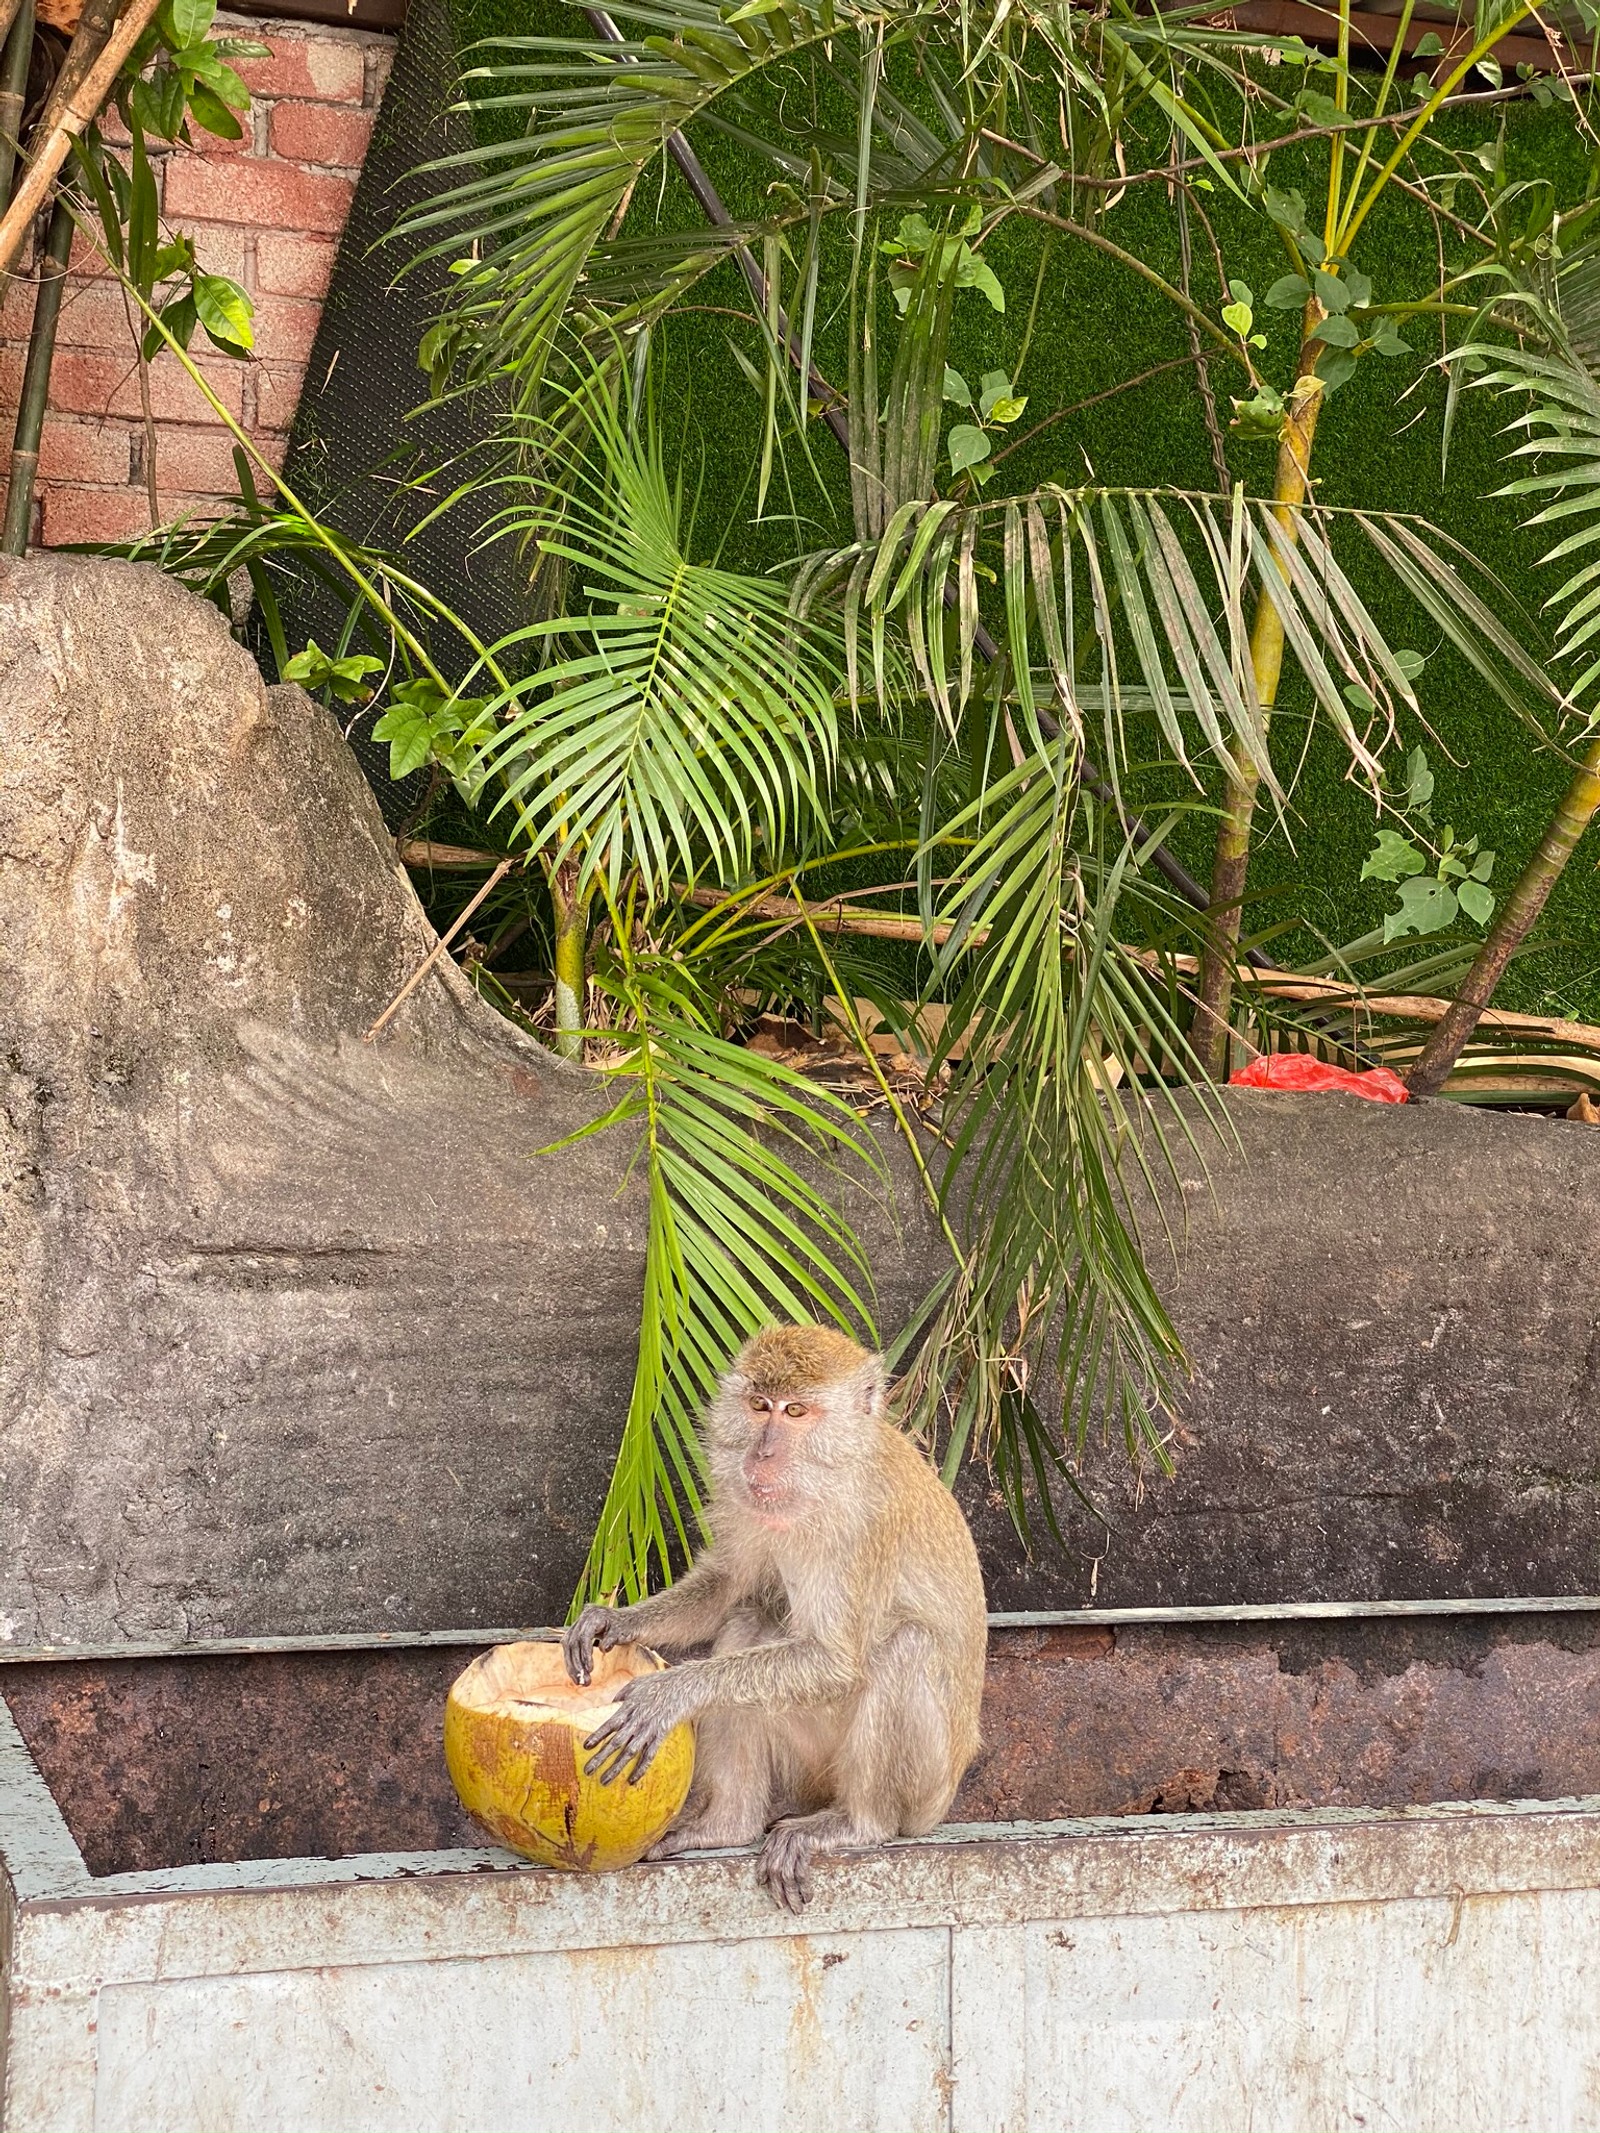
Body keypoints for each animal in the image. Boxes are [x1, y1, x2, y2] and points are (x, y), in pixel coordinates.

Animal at [563, 1322, 989, 1911]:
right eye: (760, 1406)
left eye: (796, 1412)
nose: (762, 1455)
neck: (826, 1480)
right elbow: (728, 1586)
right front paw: (612, 1622)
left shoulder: (863, 1528)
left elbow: (836, 1661)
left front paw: (670, 1693)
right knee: (749, 1622)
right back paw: (728, 1825)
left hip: (927, 1787)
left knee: (906, 1647)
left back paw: (861, 1824)